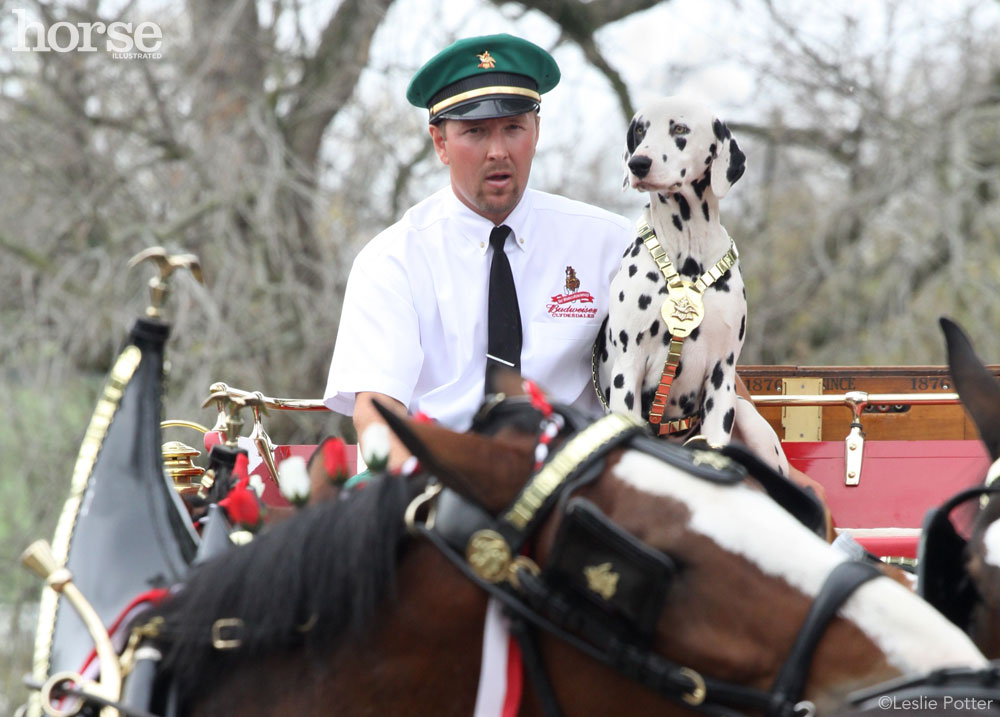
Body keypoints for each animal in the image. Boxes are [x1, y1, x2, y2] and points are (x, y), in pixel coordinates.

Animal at [592, 96, 788, 476]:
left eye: (680, 129)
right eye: (640, 131)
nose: (639, 163)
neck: (687, 255)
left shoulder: (722, 374)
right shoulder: (628, 368)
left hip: (747, 415)